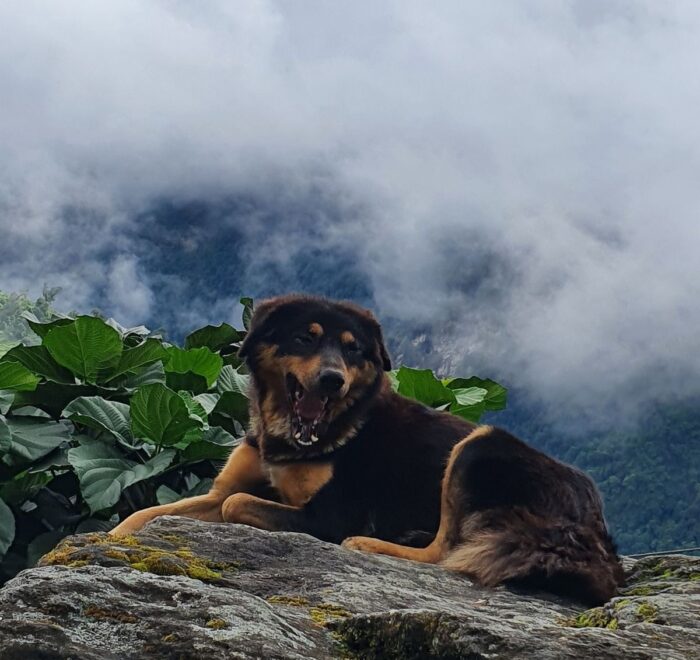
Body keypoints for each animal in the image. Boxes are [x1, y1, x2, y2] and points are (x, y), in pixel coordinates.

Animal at [113, 294, 624, 604]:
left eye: (354, 350)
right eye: (305, 338)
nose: (332, 380)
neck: (294, 436)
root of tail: (596, 534)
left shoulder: (331, 516)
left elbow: (236, 504)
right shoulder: (225, 485)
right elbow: (150, 513)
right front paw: (112, 538)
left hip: (479, 443)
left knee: (449, 552)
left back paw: (377, 543)